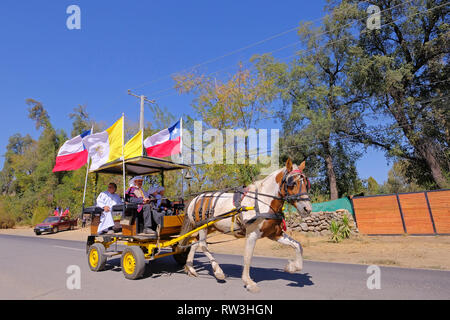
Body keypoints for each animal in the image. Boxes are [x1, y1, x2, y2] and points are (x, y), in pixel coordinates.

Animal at [178, 159, 312, 294]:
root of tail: (195, 198)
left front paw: (292, 267)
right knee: (202, 245)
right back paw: (218, 271)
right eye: (292, 183)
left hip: (210, 228)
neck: (262, 202)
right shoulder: (252, 234)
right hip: (203, 227)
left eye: (307, 183)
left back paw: (190, 268)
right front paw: (249, 282)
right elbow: (248, 257)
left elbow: (298, 245)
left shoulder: (275, 234)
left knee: (194, 243)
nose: (307, 209)